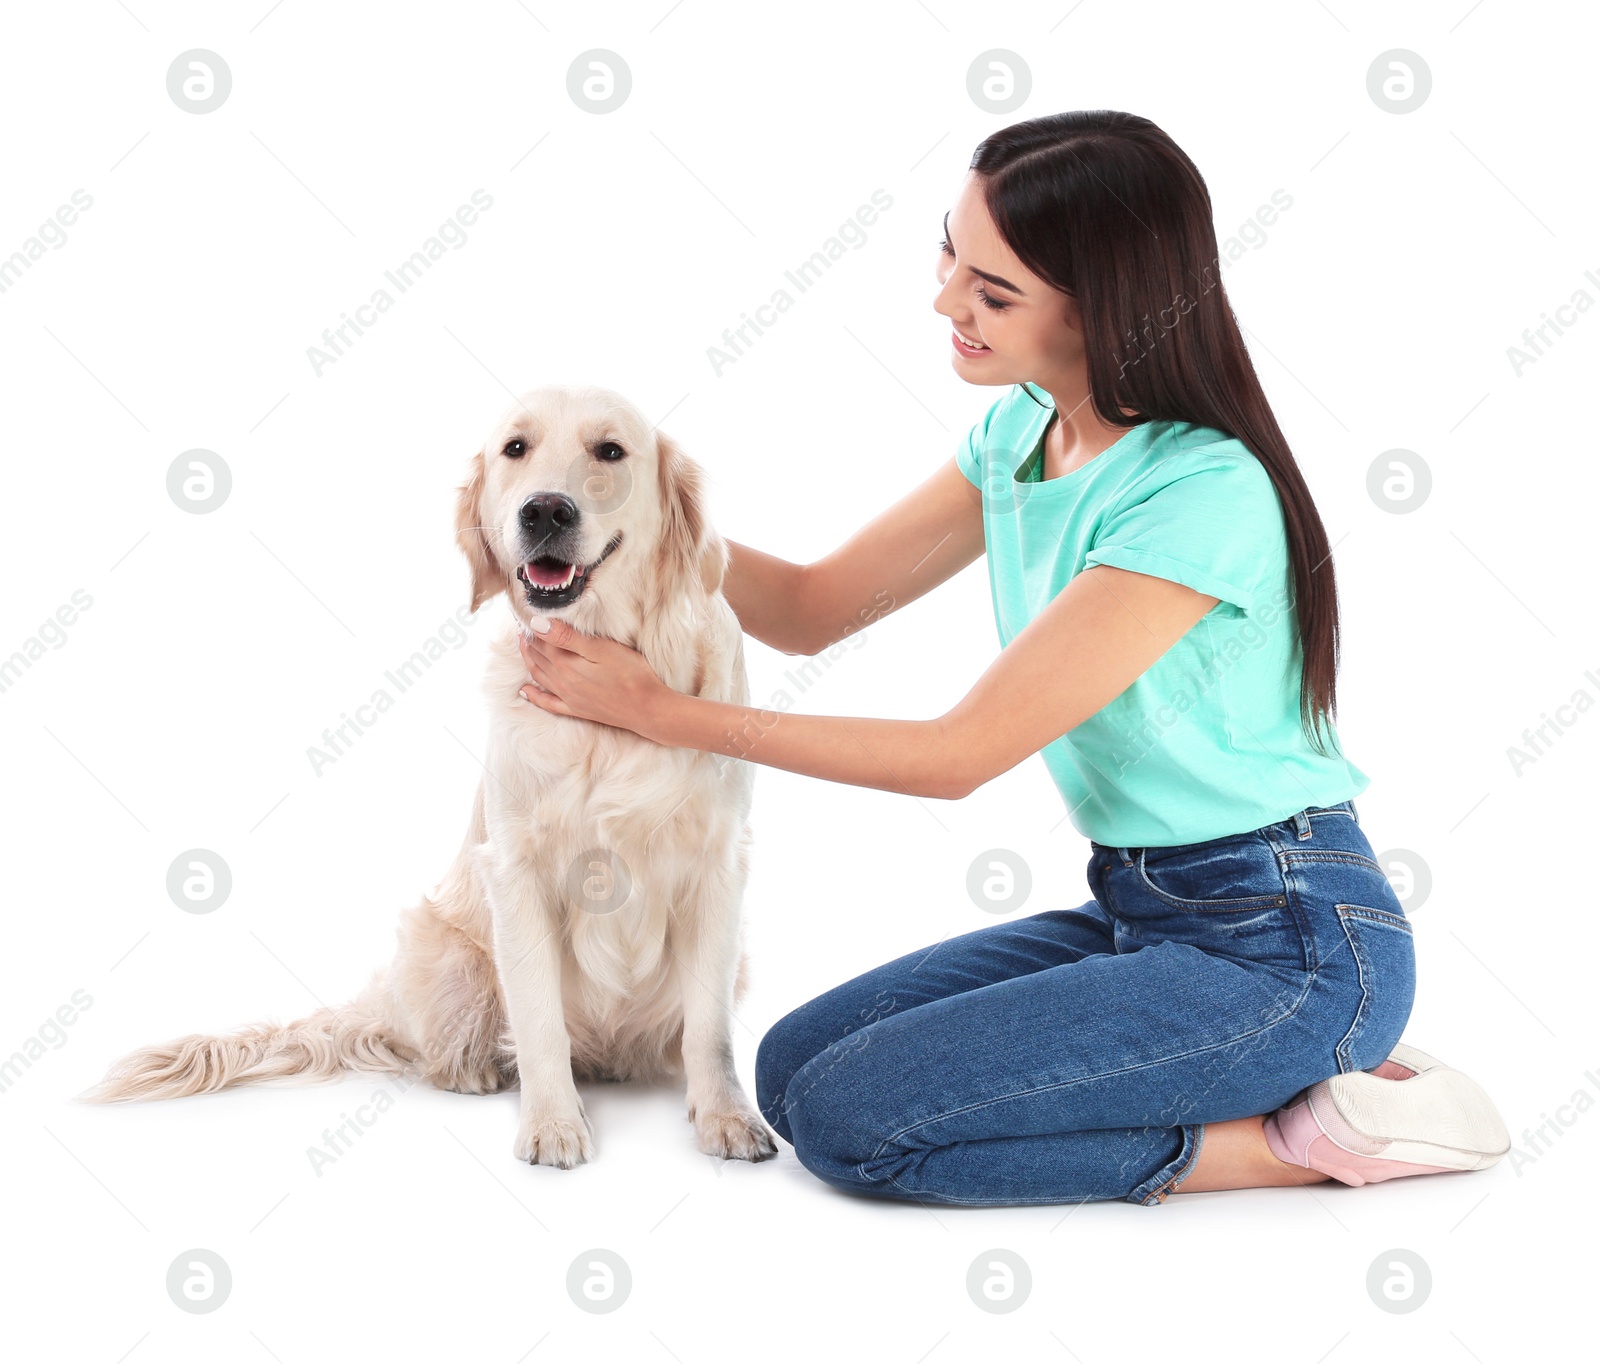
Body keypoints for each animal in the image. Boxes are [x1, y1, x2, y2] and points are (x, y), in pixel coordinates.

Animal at [84, 385, 777, 1171]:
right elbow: (538, 1018)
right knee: (451, 1047)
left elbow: (709, 1030)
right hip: (441, 946)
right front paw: (552, 1124)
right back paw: (476, 1069)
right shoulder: (516, 869)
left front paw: (725, 1116)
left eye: (611, 451)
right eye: (515, 449)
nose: (545, 510)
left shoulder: (720, 865)